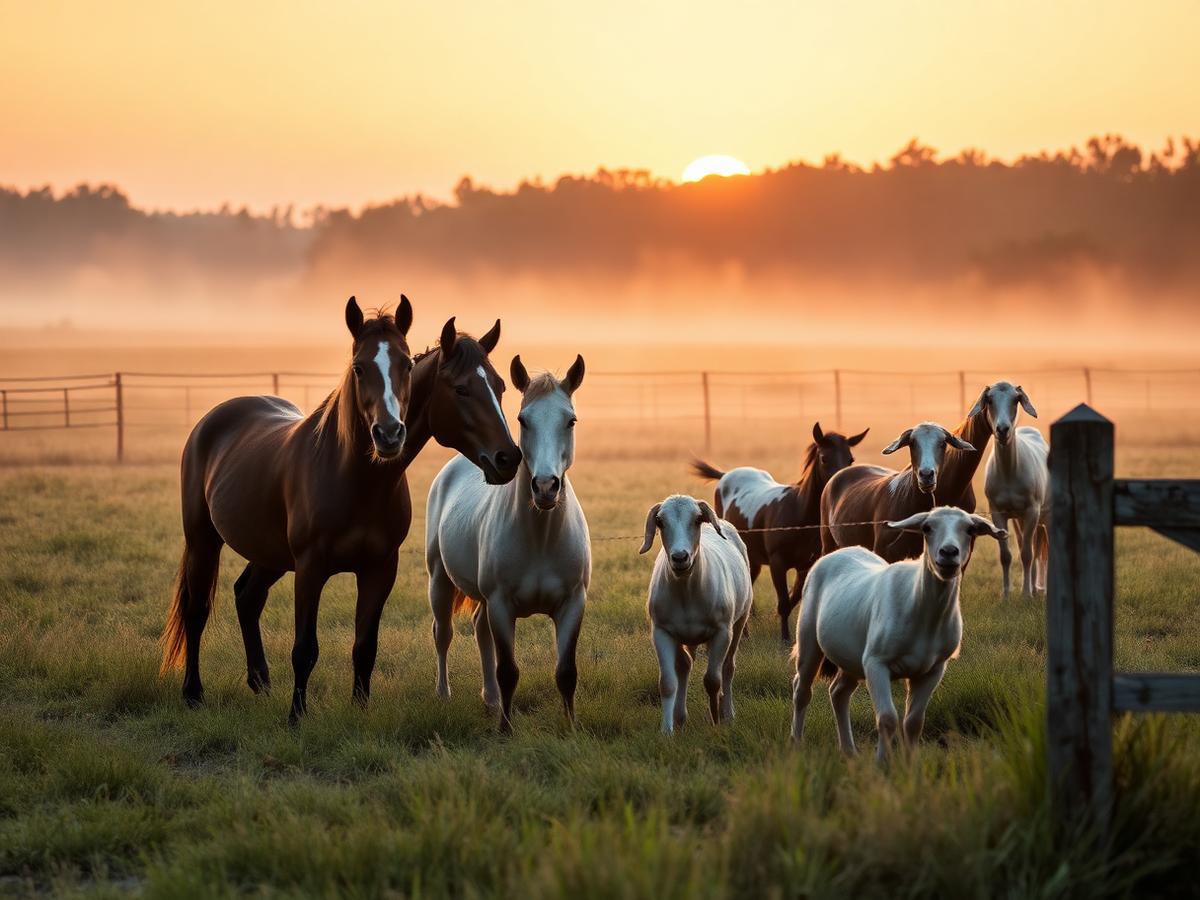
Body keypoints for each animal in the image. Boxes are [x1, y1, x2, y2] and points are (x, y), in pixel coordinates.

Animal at [161, 299, 522, 724]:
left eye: (499, 386)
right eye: (461, 388)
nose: (507, 458)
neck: (355, 480)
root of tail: (215, 418)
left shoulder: (379, 569)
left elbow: (364, 647)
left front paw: (359, 710)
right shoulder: (310, 568)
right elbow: (304, 649)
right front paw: (296, 717)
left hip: (271, 554)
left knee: (248, 596)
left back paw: (261, 682)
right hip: (203, 540)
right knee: (197, 610)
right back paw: (193, 693)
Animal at [425, 354, 590, 733]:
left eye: (570, 420)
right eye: (522, 420)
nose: (545, 486)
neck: (541, 539)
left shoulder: (572, 604)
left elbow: (566, 672)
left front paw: (572, 727)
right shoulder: (501, 605)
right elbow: (508, 671)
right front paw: (505, 729)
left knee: (479, 630)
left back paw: (490, 700)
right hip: (440, 579)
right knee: (443, 634)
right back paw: (444, 694)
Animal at [690, 422, 869, 642]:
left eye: (850, 459)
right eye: (824, 458)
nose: (840, 482)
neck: (799, 515)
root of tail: (725, 475)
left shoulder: (806, 565)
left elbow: (795, 597)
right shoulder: (777, 562)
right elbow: (784, 601)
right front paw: (785, 638)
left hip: (754, 558)